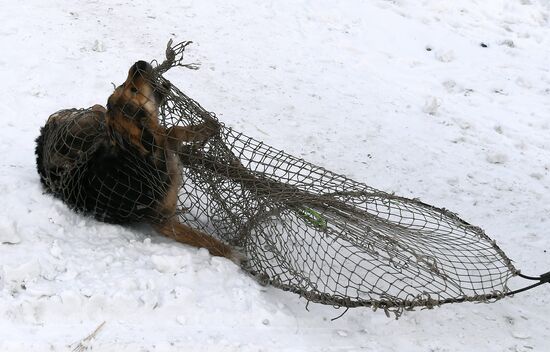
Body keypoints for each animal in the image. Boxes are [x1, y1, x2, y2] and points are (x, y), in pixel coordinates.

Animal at [36, 60, 239, 262]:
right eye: (132, 89)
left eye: (122, 85)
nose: (138, 64)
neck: (136, 154)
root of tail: (44, 133)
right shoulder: (163, 220)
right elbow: (202, 238)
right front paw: (232, 253)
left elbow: (173, 131)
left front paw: (204, 128)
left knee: (97, 109)